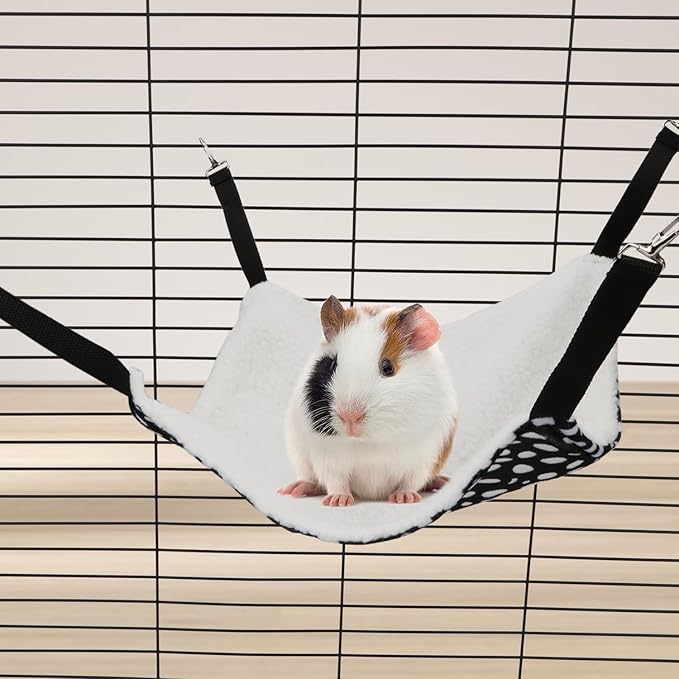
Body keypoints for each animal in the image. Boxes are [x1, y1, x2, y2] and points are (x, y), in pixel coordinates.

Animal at [278, 295, 458, 507]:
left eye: (388, 367)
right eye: (332, 365)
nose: (350, 417)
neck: (369, 442)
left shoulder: (423, 458)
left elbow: (411, 482)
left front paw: (404, 499)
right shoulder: (329, 460)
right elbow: (337, 482)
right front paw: (337, 502)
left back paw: (441, 483)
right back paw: (294, 490)